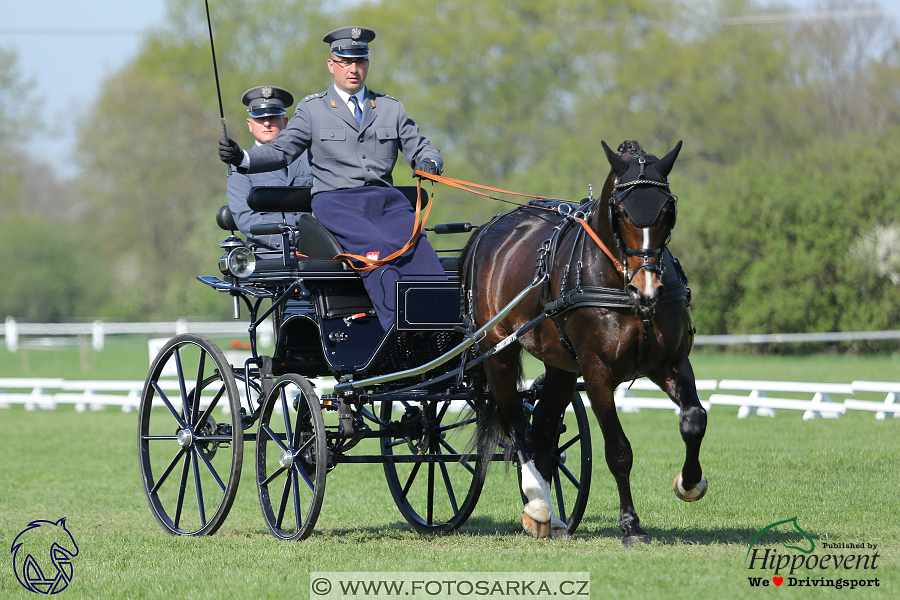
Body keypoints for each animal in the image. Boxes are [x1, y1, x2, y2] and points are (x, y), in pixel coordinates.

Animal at [464, 139, 712, 544]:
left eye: (668, 209)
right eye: (620, 211)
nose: (647, 289)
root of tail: (490, 228)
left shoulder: (670, 361)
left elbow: (694, 419)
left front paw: (689, 482)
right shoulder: (597, 374)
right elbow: (619, 450)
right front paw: (631, 525)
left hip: (561, 366)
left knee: (542, 431)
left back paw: (549, 517)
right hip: (497, 352)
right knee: (515, 425)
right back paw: (537, 502)